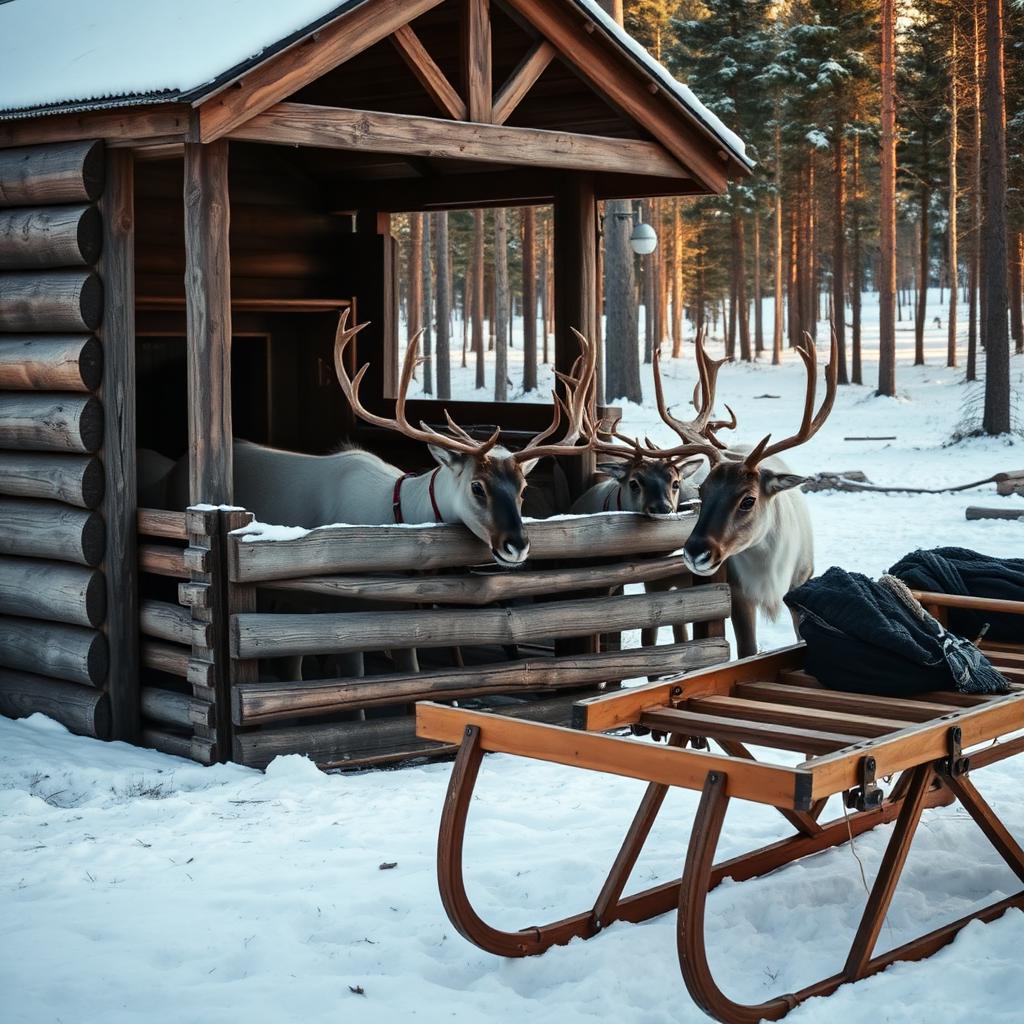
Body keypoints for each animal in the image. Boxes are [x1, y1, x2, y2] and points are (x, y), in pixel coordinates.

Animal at [678, 330, 839, 658]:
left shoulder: (802, 580)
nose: (695, 551)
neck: (770, 574)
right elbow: (748, 649)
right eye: (703, 490)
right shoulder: (738, 592)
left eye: (748, 499)